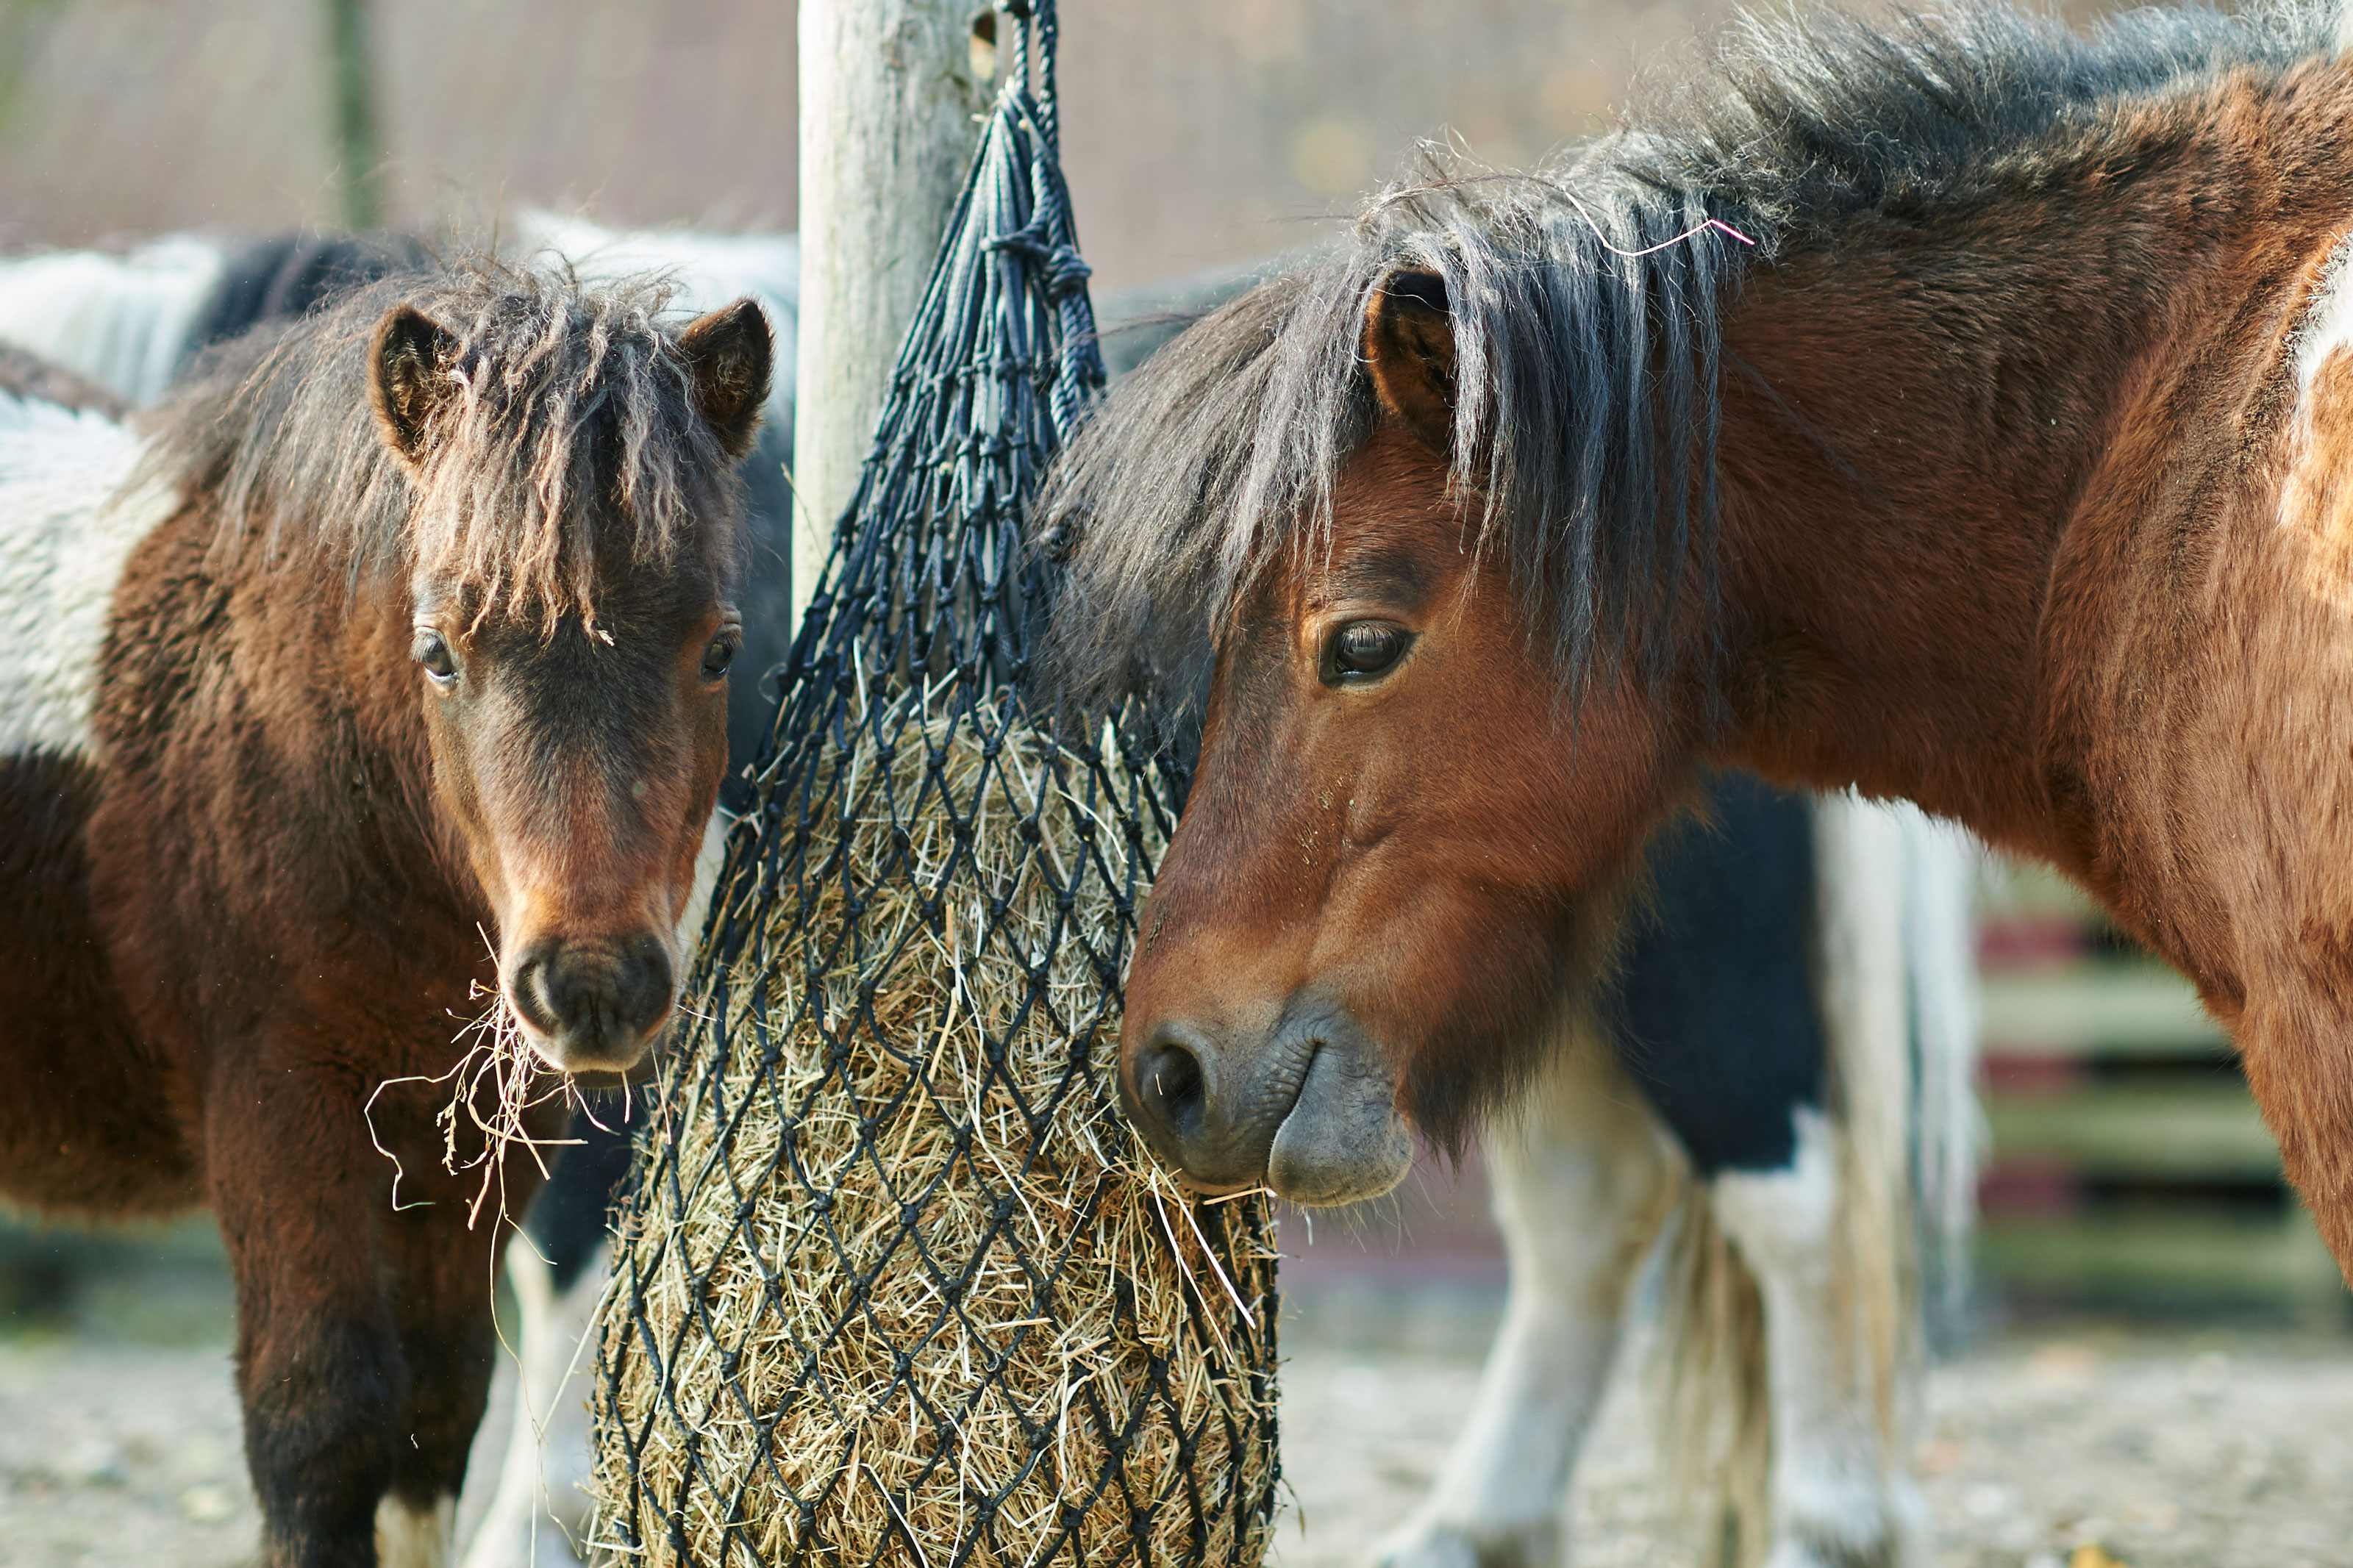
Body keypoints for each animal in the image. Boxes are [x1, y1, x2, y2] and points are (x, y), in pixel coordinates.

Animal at [0, 260, 768, 1567]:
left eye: (718, 647)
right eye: (440, 651)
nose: (594, 985)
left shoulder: (464, 1152)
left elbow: (434, 1417)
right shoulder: (280, 1112)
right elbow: (321, 1430)